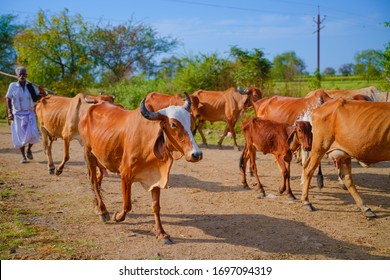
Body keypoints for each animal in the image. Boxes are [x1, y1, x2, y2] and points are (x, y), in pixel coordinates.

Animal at [78, 93, 203, 242]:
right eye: (173, 124)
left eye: (190, 123)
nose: (197, 154)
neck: (147, 141)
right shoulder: (125, 175)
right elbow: (127, 204)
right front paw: (118, 217)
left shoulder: (156, 177)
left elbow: (156, 206)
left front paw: (161, 233)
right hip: (88, 153)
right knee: (93, 180)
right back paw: (103, 211)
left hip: (101, 158)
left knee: (97, 178)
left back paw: (97, 206)